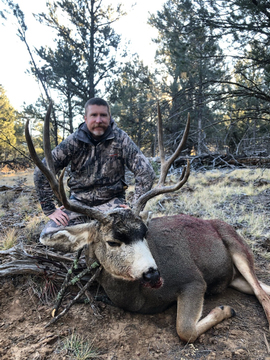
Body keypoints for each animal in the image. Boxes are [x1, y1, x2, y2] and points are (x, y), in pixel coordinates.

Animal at [24, 102, 270, 342]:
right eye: (112, 241)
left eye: (145, 233)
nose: (152, 273)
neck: (140, 297)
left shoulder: (194, 279)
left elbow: (185, 330)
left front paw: (225, 309)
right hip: (235, 277)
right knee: (262, 288)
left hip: (237, 246)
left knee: (262, 294)